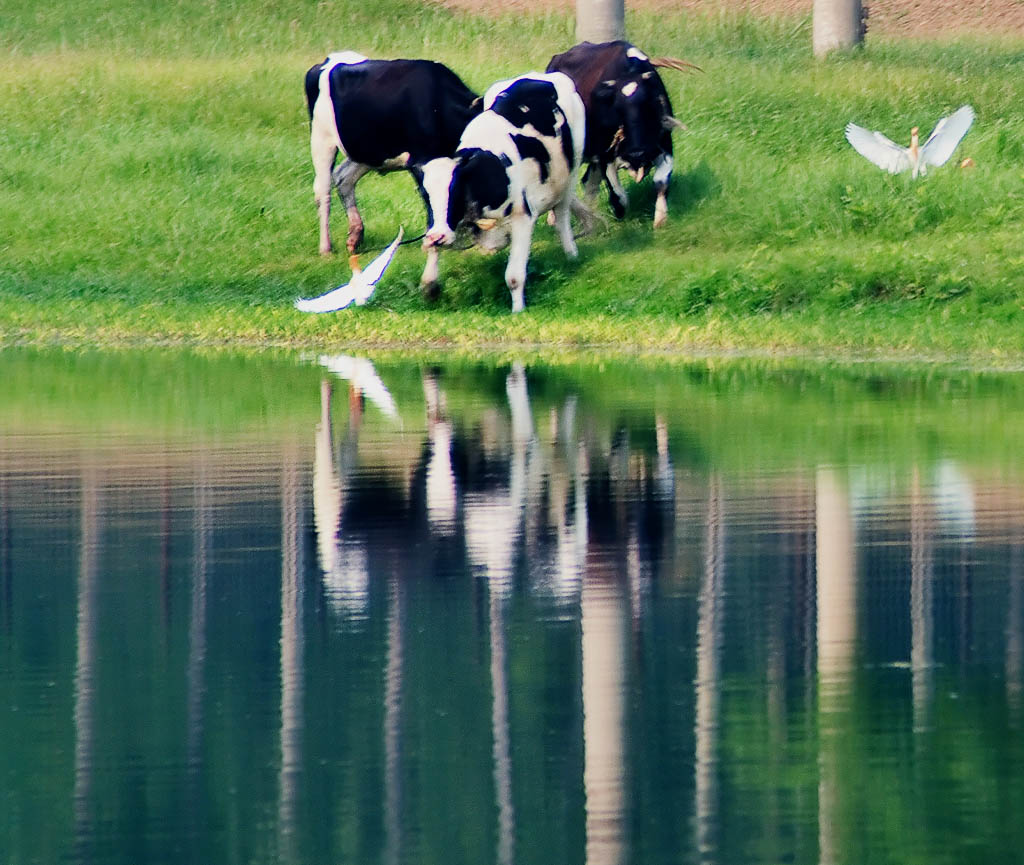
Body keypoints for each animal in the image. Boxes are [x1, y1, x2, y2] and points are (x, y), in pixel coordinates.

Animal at [305, 51, 481, 256]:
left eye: (457, 191)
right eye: (426, 193)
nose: (440, 237)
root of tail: (329, 60)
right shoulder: (417, 160)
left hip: (368, 149)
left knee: (343, 177)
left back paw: (355, 235)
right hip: (322, 139)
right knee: (323, 189)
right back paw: (325, 248)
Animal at [413, 72, 585, 311]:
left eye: (455, 191)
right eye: (425, 195)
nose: (438, 236)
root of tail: (541, 75)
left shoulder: (523, 216)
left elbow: (514, 277)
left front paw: (518, 311)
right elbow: (431, 250)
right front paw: (429, 286)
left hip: (571, 173)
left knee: (562, 215)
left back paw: (571, 254)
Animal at [544, 40, 696, 229]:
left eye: (647, 104)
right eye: (618, 108)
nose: (637, 153)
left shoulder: (664, 143)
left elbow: (661, 181)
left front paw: (660, 220)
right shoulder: (605, 154)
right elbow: (618, 195)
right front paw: (618, 212)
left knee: (589, 182)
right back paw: (553, 218)